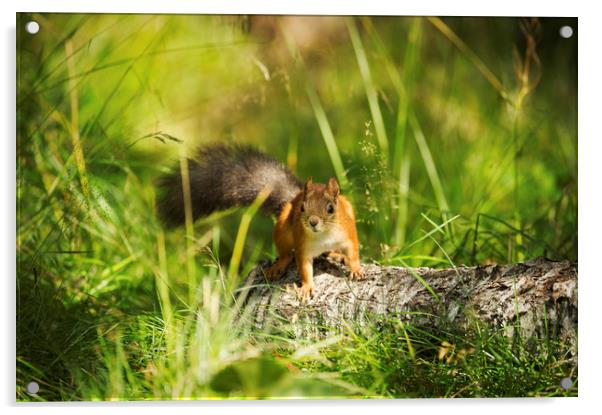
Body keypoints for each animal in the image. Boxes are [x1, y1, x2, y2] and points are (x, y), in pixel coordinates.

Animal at [158, 145, 360, 300]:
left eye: (330, 209)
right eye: (302, 208)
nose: (313, 222)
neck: (324, 235)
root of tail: (292, 198)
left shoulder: (348, 234)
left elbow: (353, 252)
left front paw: (356, 269)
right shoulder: (303, 246)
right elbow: (304, 267)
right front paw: (307, 287)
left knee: (329, 252)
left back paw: (337, 255)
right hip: (282, 231)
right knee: (286, 254)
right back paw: (277, 266)